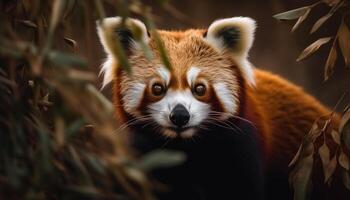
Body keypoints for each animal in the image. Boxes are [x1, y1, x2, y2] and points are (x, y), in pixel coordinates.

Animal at [96, 17, 350, 200]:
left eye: (199, 88)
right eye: (157, 88)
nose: (180, 115)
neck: (188, 147)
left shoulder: (243, 148)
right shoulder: (146, 155)